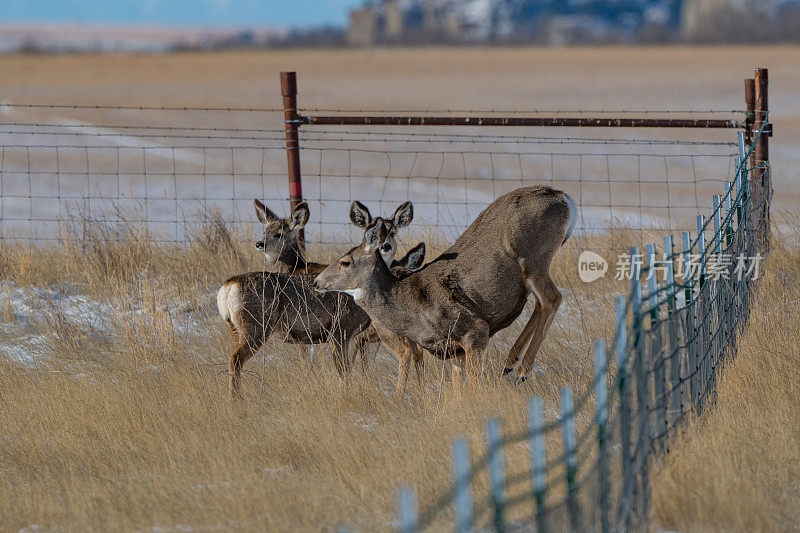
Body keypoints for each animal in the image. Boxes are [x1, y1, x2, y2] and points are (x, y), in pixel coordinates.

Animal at [216, 197, 422, 392]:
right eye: (264, 231)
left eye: (393, 232)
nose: (384, 247)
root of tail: (228, 286)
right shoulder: (339, 329)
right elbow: (342, 371)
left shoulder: (343, 333)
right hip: (254, 325)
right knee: (235, 359)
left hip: (242, 327)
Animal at [312, 185, 576, 392]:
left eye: (344, 262)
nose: (316, 282)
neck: (407, 305)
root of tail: (564, 199)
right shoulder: (454, 350)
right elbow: (458, 390)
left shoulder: (474, 331)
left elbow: (474, 387)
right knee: (541, 303)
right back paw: (511, 362)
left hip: (532, 258)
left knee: (552, 298)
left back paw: (521, 370)